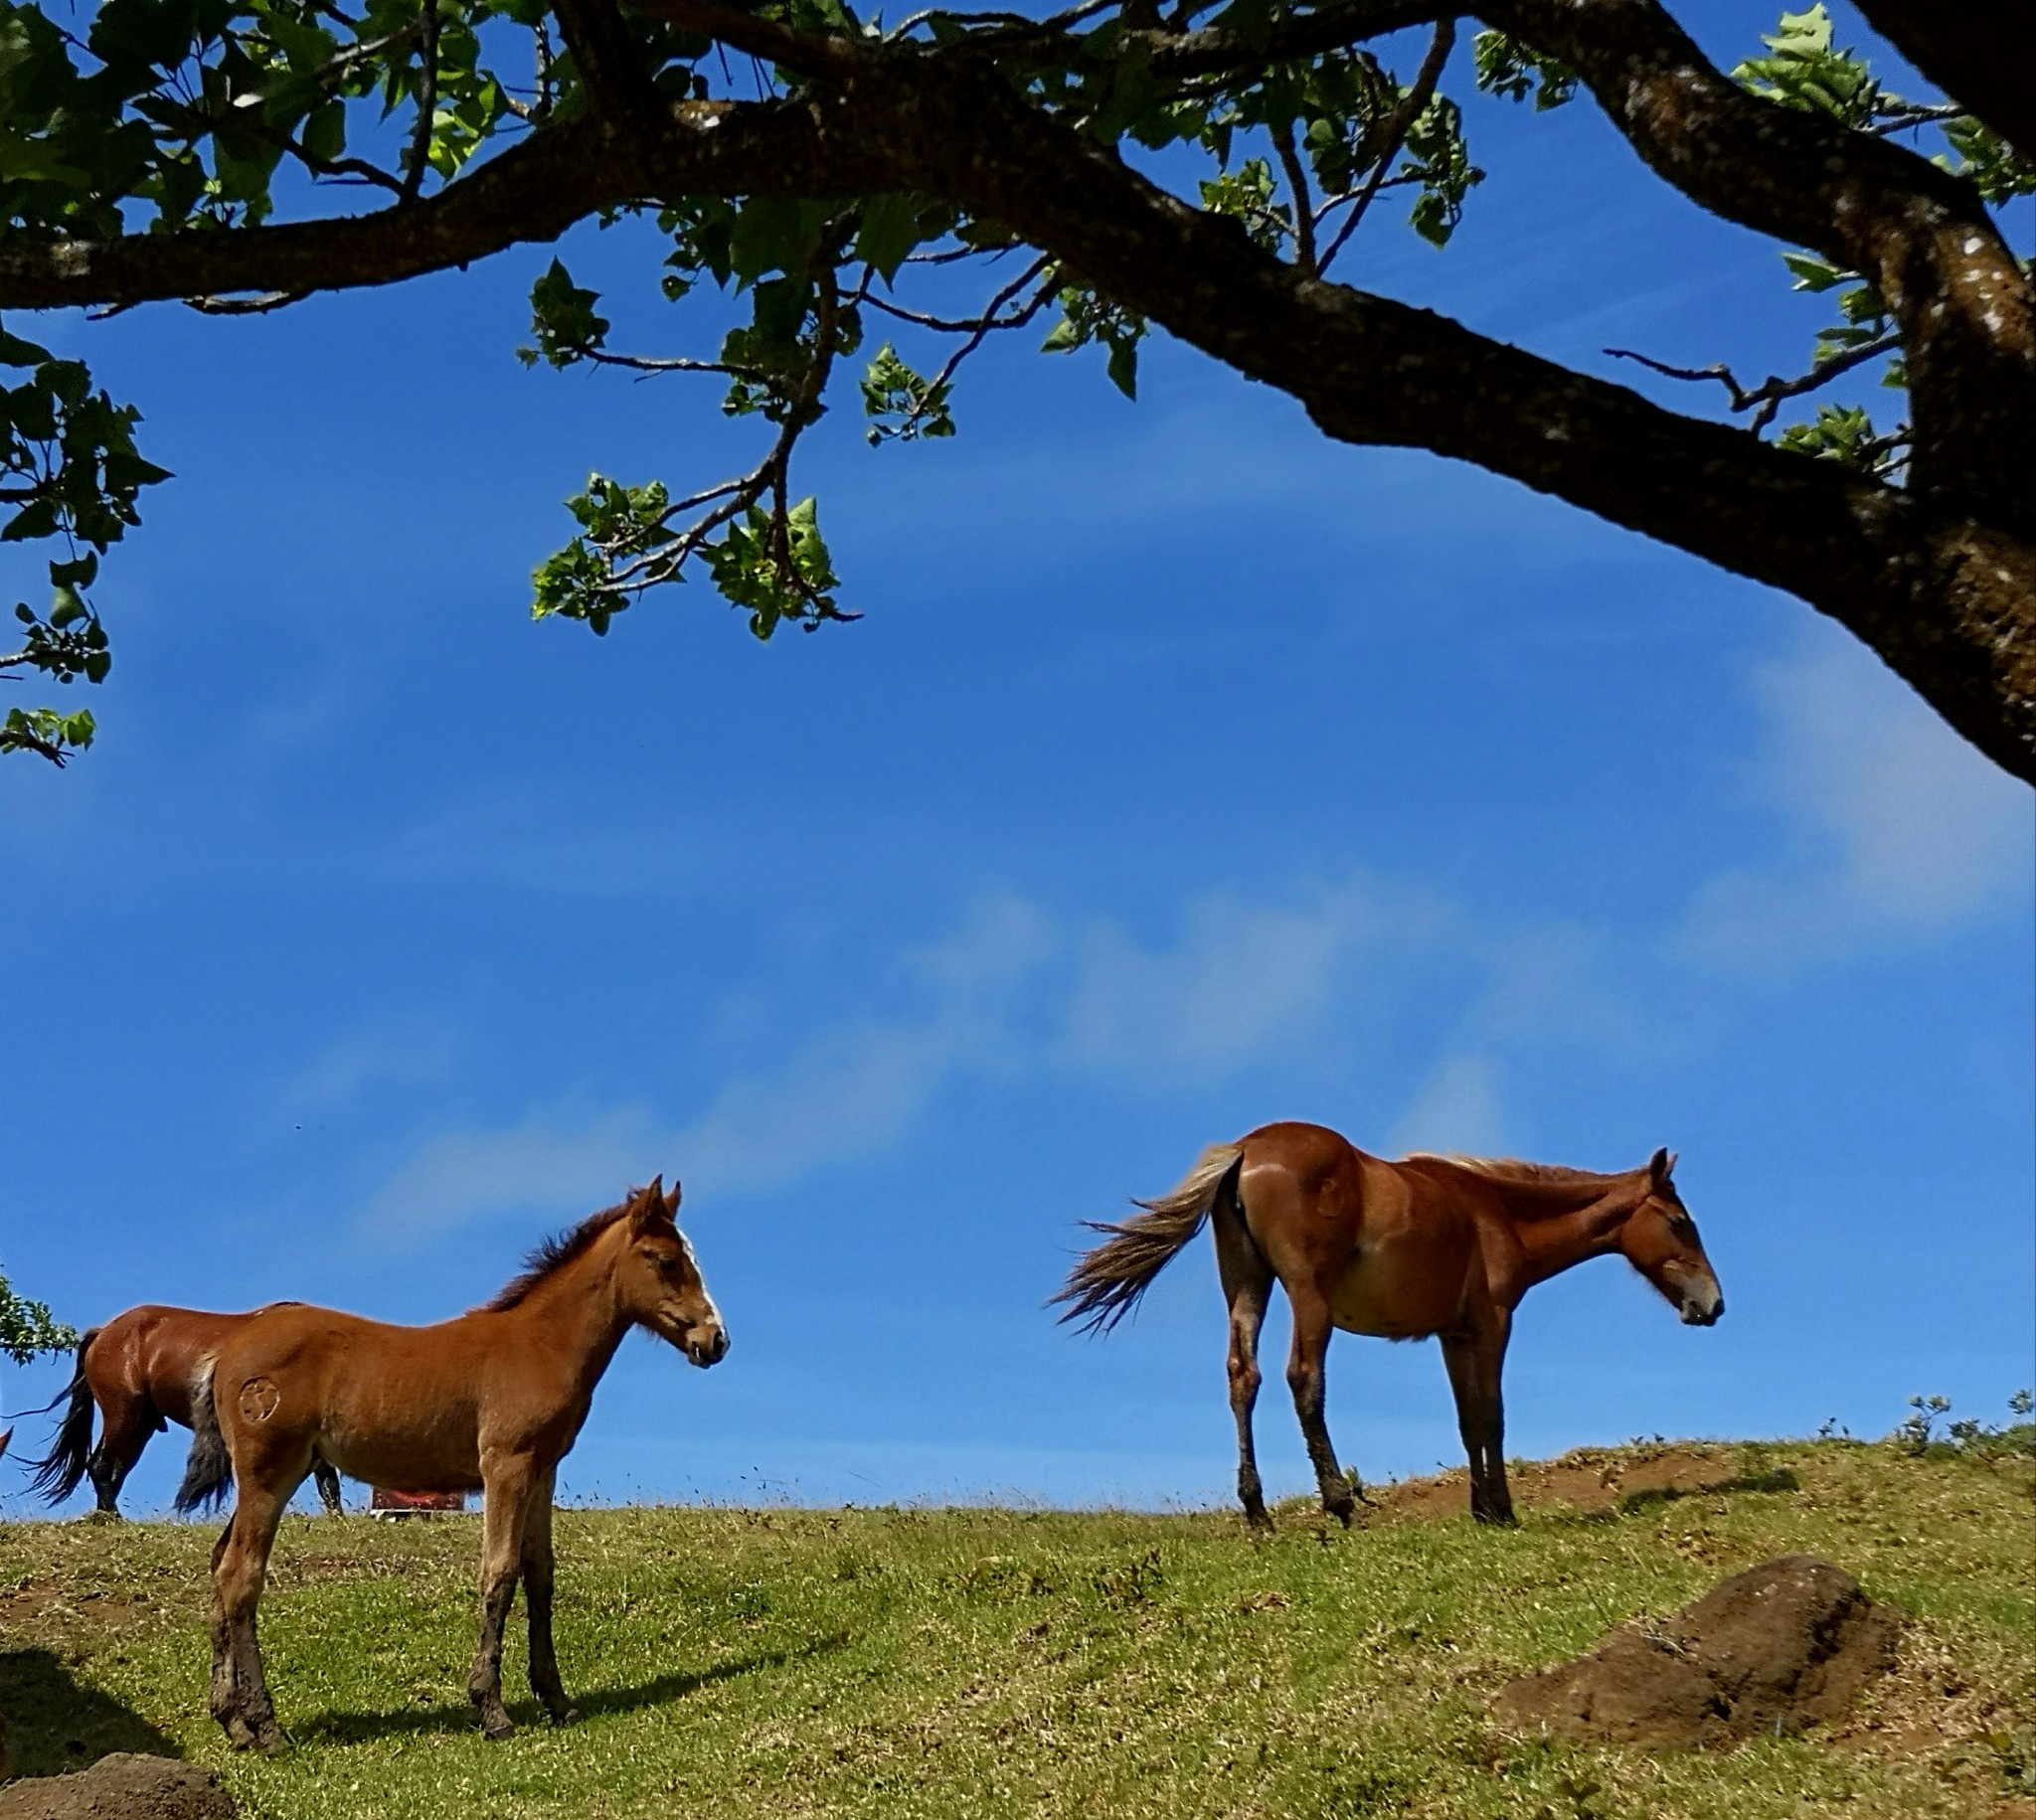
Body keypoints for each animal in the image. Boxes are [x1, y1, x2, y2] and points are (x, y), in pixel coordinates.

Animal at [25, 1310, 342, 1522]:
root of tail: (103, 1333)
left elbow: (327, 1480)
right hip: (124, 1415)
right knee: (101, 1466)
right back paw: (112, 1517)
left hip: (140, 1424)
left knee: (113, 1469)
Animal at [173, 1172, 725, 1758]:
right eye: (666, 1260)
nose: (716, 1340)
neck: (541, 1345)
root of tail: (228, 1350)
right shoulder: (506, 1466)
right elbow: (500, 1573)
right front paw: (491, 1709)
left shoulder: (542, 1471)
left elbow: (540, 1574)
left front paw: (555, 1699)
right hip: (269, 1475)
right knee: (240, 1575)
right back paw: (267, 1725)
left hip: (272, 1477)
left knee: (219, 1564)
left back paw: (232, 1721)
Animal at [1058, 1123, 1726, 1539]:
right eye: (1678, 1221)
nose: (1714, 1304)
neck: (1496, 1213)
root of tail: (1246, 1149)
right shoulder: (1493, 1325)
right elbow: (1492, 1416)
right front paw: (1502, 1511)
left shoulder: (1454, 1336)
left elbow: (1467, 1422)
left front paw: (1482, 1511)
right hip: (1307, 1295)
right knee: (1303, 1380)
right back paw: (1339, 1504)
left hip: (1247, 1284)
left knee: (1242, 1378)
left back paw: (1258, 1514)